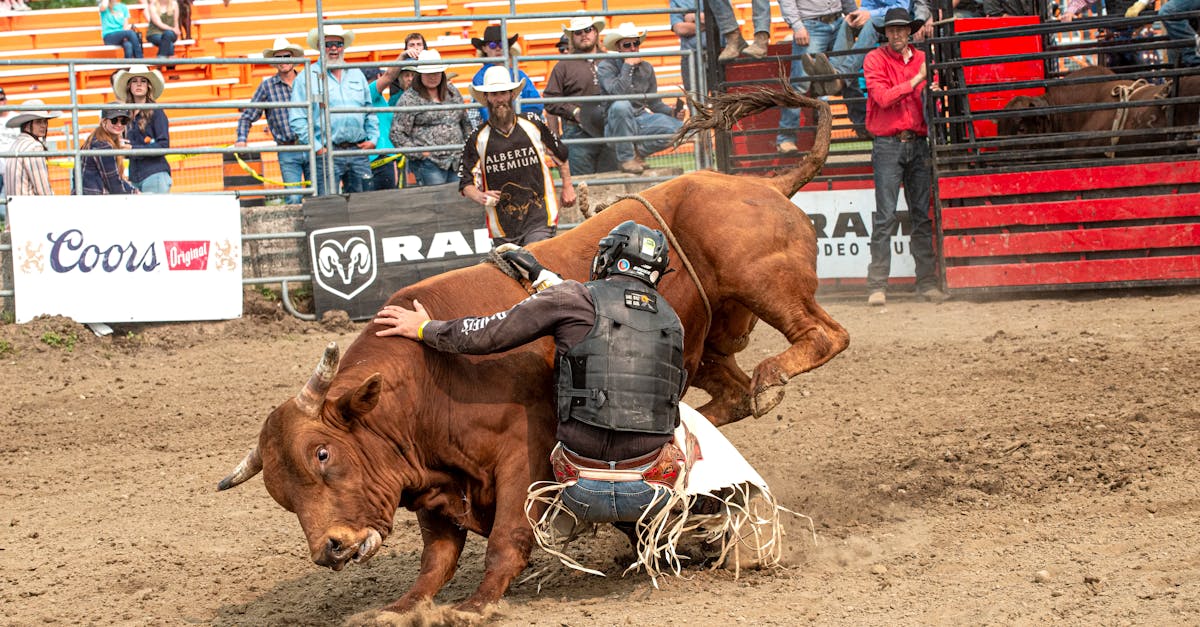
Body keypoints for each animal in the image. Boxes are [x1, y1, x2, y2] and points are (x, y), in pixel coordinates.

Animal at [218, 85, 854, 612]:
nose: (331, 548)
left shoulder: (521, 453)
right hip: (711, 342)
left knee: (824, 337)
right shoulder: (433, 490)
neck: (429, 378)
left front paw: (476, 605)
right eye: (280, 493)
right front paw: (401, 608)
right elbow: (436, 561)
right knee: (734, 393)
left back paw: (770, 381)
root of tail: (763, 184)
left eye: (323, 454)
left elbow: (506, 537)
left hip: (760, 278)